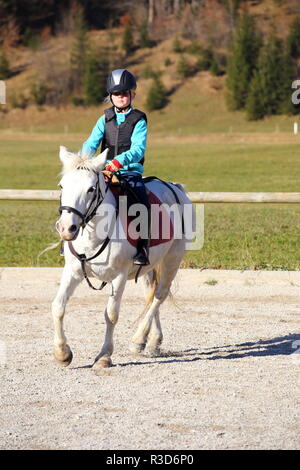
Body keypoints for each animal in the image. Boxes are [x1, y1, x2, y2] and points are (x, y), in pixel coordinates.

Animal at [52, 145, 193, 370]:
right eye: (62, 186)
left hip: (173, 258)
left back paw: (138, 339)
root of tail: (175, 188)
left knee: (159, 296)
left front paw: (104, 356)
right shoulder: (73, 271)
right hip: (149, 267)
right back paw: (151, 341)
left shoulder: (118, 276)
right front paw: (62, 353)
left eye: (91, 189)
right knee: (150, 294)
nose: (67, 228)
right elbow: (58, 306)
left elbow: (111, 314)